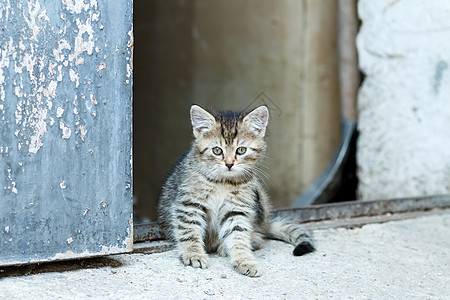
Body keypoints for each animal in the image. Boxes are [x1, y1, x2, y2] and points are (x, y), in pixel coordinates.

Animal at [160, 105, 314, 276]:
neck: (223, 183)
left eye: (241, 150)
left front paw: (244, 259)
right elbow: (189, 231)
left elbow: (238, 235)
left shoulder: (236, 209)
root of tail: (266, 222)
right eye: (217, 150)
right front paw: (193, 254)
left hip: (258, 197)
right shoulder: (189, 204)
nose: (229, 164)